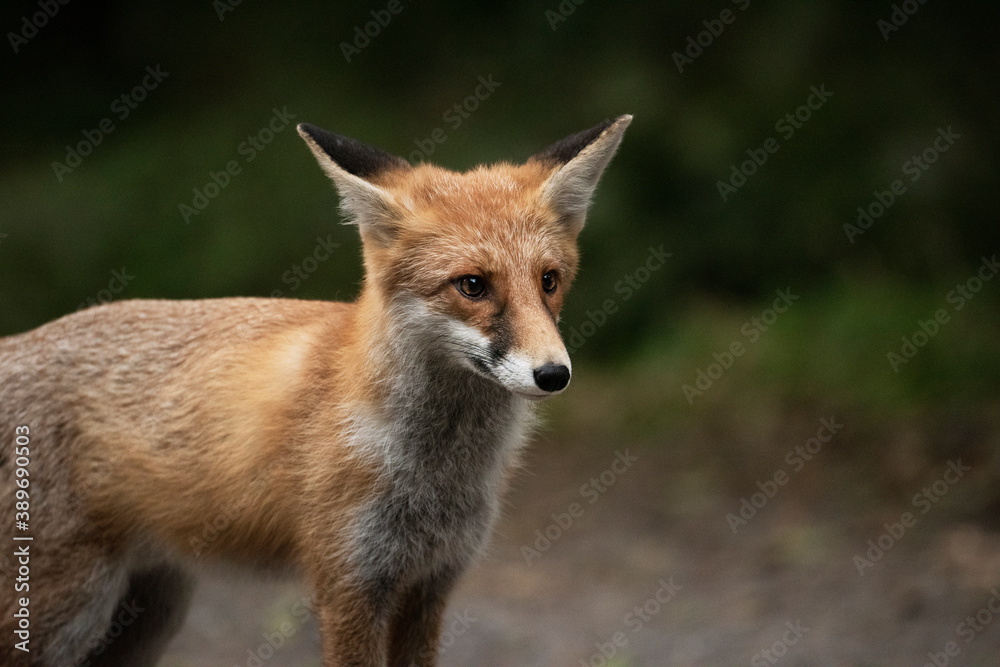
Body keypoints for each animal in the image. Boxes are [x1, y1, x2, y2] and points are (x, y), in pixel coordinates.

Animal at [1, 112, 632, 664]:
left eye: (549, 281)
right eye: (472, 285)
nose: (554, 374)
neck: (434, 473)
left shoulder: (430, 584)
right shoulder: (349, 585)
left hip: (150, 615)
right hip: (64, 612)